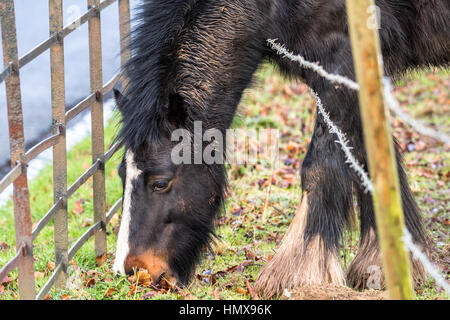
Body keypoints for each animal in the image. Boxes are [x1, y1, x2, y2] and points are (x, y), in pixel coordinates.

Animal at [110, 0, 448, 298]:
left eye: (160, 183)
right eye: (121, 174)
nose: (135, 271)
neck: (272, 6)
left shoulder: (340, 66)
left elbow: (320, 167)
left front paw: (298, 275)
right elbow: (370, 161)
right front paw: (384, 262)